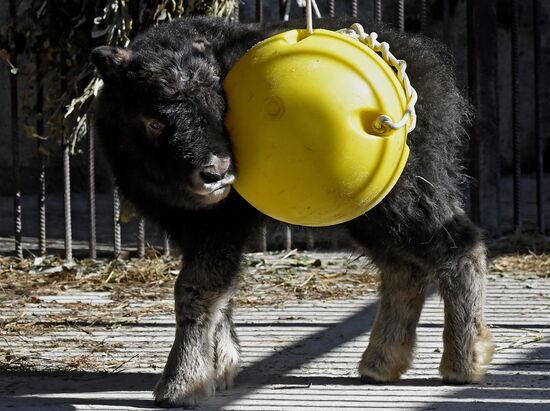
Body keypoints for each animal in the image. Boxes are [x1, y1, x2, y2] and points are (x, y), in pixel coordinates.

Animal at [90, 16, 496, 408]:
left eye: (221, 110)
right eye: (154, 121)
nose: (216, 173)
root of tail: (427, 72)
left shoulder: (220, 226)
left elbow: (196, 288)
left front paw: (180, 385)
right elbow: (221, 292)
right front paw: (221, 367)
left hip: (405, 200)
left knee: (457, 247)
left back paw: (462, 363)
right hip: (369, 213)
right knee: (403, 268)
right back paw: (381, 363)